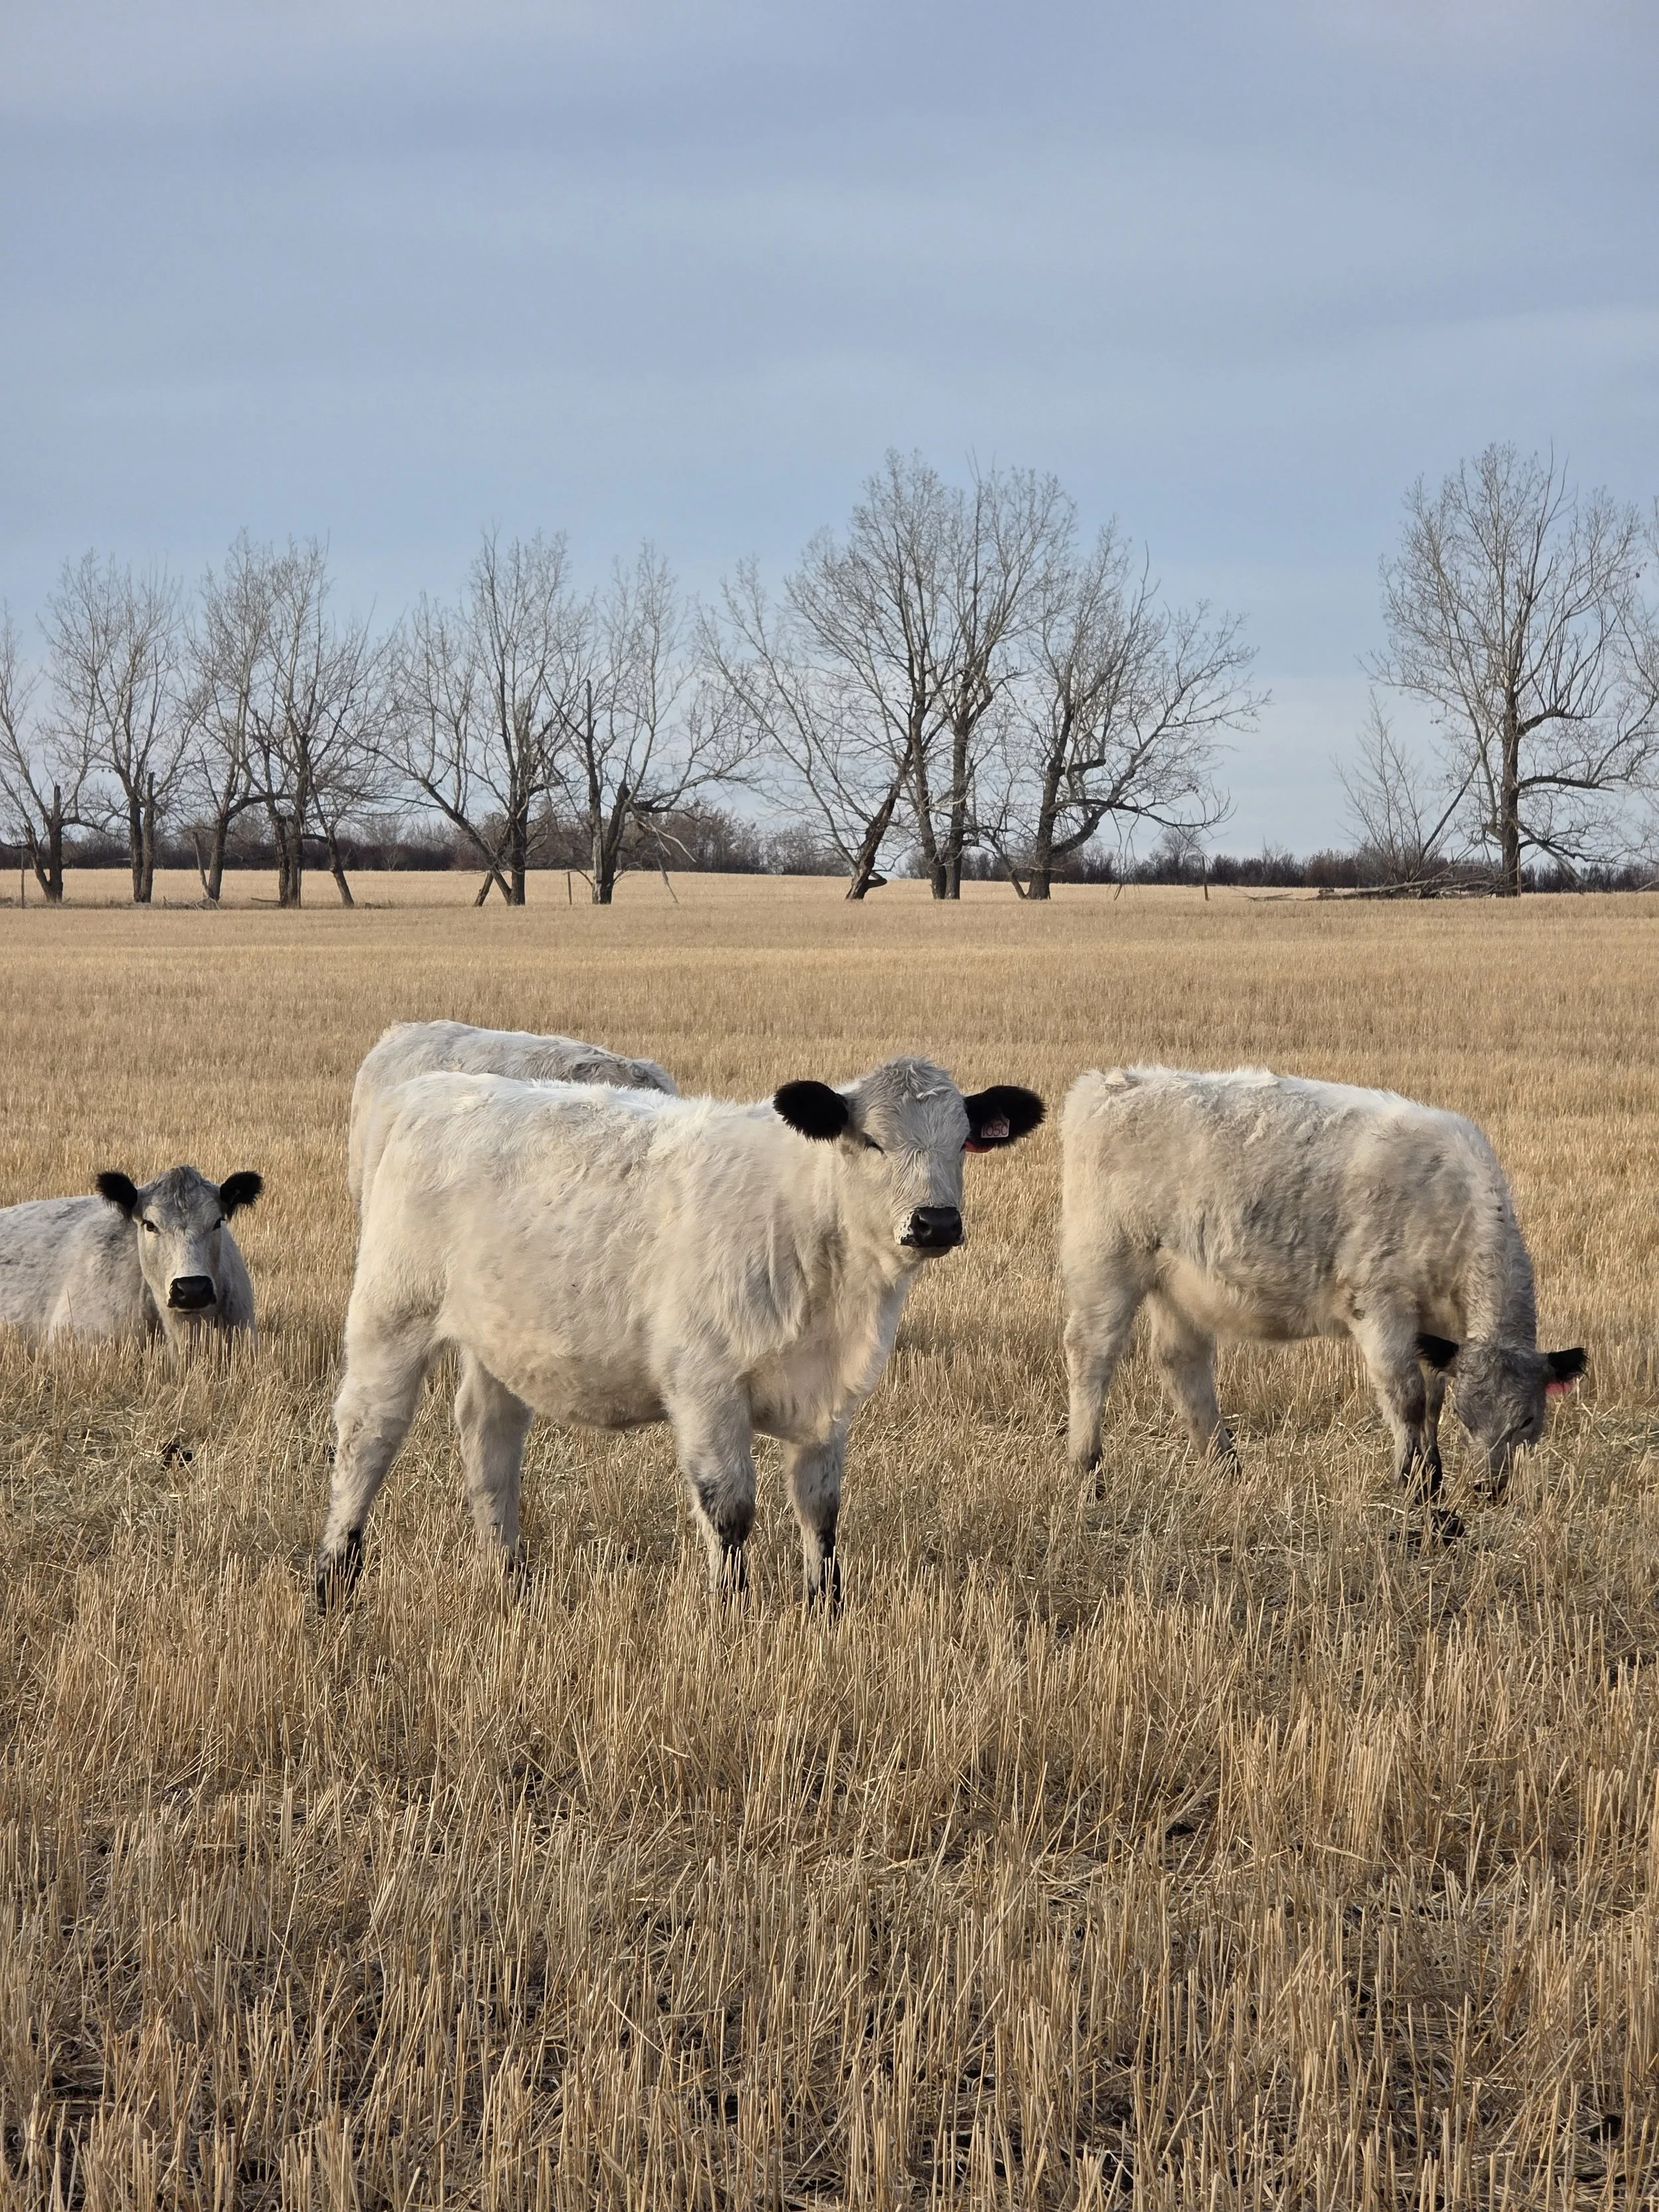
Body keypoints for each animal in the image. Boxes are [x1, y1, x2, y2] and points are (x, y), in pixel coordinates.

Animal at [316, 1057, 1044, 1609]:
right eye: (871, 1140)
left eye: (962, 1142)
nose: (935, 1221)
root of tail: (433, 1086)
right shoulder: (705, 1384)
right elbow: (730, 1508)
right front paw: (731, 1616)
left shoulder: (830, 1399)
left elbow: (821, 1507)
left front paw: (826, 1609)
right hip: (390, 1315)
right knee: (367, 1437)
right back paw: (333, 1581)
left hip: (500, 1340)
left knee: (489, 1443)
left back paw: (510, 1577)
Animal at [1061, 1067, 1584, 1509]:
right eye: (1468, 1416)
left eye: (1528, 1419)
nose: (1488, 1489)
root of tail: (1112, 1084)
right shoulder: (1380, 1306)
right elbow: (1408, 1396)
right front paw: (1416, 1487)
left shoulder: (1436, 1326)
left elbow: (1431, 1400)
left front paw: (1431, 1478)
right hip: (1105, 1265)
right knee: (1092, 1354)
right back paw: (1088, 1470)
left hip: (1177, 1285)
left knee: (1181, 1363)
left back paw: (1226, 1468)